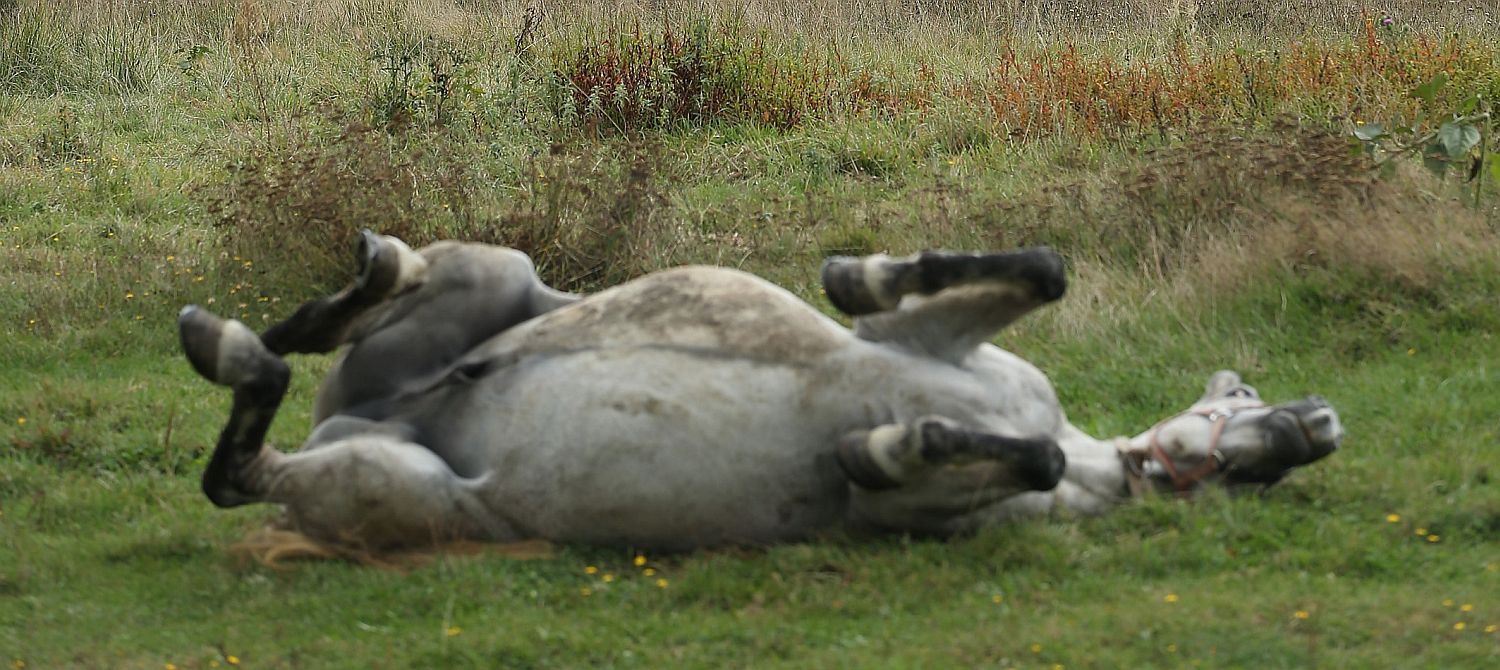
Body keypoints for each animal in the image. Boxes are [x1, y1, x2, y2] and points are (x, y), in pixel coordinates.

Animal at [178, 235, 1350, 551]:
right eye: (1248, 392)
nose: (1319, 425)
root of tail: (375, 414)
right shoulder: (931, 339)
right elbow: (1038, 271)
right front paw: (858, 273)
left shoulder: (941, 508)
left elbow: (1009, 458)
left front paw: (881, 446)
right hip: (493, 274)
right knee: (378, 292)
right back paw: (276, 314)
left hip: (391, 485)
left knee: (243, 467)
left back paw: (233, 349)